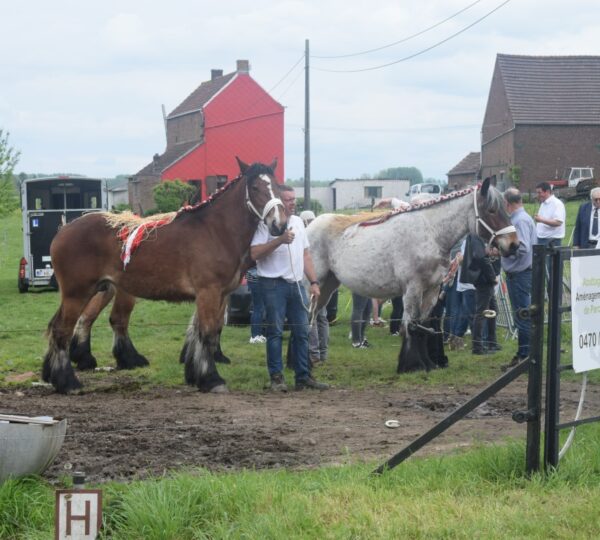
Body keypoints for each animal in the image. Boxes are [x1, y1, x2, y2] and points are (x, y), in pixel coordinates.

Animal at [42, 159, 286, 392]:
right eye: (255, 188)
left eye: (277, 187)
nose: (279, 224)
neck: (215, 230)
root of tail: (64, 229)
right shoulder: (209, 292)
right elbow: (207, 334)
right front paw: (211, 379)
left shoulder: (217, 295)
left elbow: (203, 332)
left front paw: (195, 375)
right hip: (78, 293)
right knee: (62, 329)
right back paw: (67, 382)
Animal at [308, 179, 516, 374]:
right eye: (491, 210)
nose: (514, 244)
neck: (432, 233)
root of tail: (310, 227)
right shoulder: (413, 288)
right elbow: (411, 326)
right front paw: (411, 365)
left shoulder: (432, 290)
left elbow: (423, 326)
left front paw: (428, 364)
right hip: (314, 285)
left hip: (328, 286)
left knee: (313, 316)